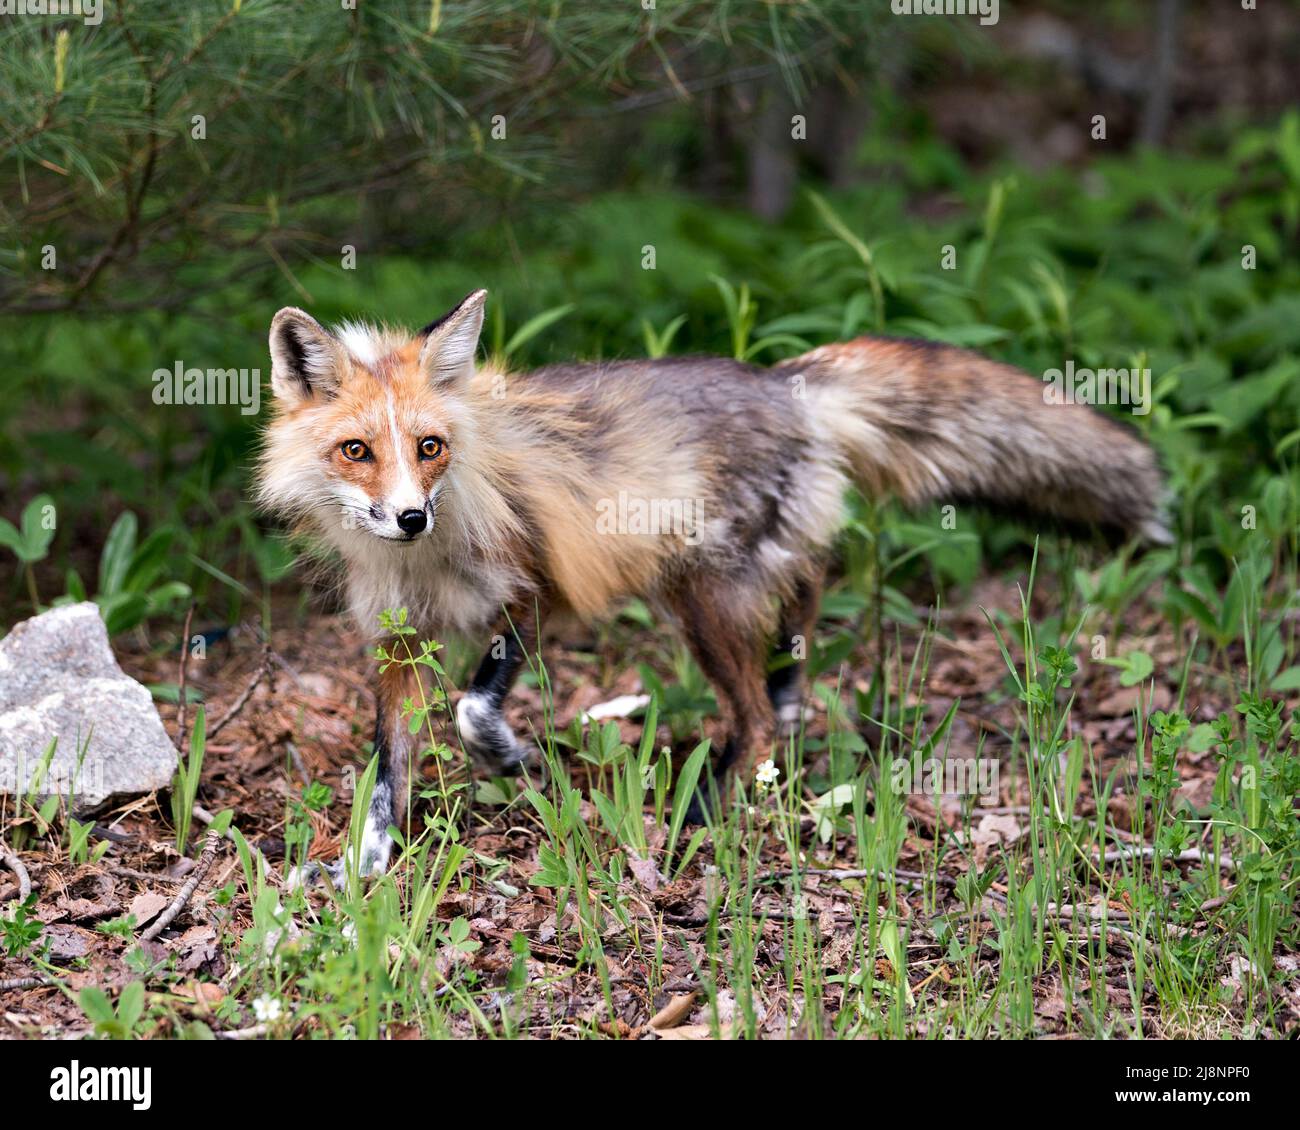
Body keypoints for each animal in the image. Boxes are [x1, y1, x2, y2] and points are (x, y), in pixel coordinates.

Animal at [256, 288, 1170, 884]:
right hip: (723, 582)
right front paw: (364, 870)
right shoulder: (399, 643)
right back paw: (790, 692)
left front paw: (512, 757)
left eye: (431, 447)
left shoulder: (534, 593)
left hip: (701, 599)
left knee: (755, 711)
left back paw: (703, 816)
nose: (410, 516)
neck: (425, 559)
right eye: (357, 451)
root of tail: (784, 381)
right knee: (805, 595)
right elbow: (387, 774)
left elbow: (475, 708)